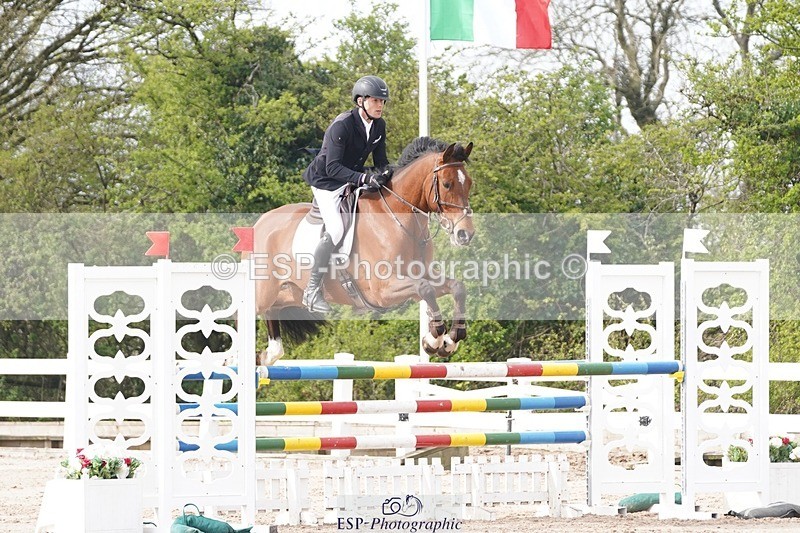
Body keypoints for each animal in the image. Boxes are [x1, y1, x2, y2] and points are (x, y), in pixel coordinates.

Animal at [249, 137, 475, 365]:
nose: (465, 234)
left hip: (289, 293)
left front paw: (448, 340)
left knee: (273, 313)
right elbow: (425, 289)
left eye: (469, 184)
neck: (399, 219)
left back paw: (267, 354)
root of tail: (260, 223)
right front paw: (434, 338)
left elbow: (457, 287)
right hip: (262, 292)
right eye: (447, 184)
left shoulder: (423, 273)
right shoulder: (383, 290)